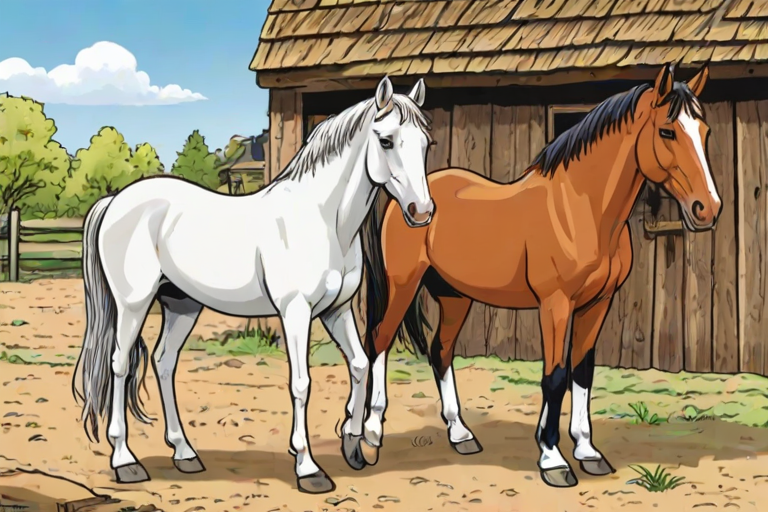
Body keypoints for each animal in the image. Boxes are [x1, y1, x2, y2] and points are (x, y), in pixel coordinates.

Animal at [72, 76, 435, 494]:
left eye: (426, 143)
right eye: (386, 140)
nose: (422, 212)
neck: (324, 220)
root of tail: (115, 200)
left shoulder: (336, 310)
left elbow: (359, 364)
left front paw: (354, 444)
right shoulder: (296, 312)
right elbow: (301, 383)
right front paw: (308, 468)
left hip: (182, 304)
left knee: (164, 362)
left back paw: (185, 454)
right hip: (132, 303)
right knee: (119, 364)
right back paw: (125, 461)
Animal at [360, 64, 721, 487]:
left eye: (705, 132)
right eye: (667, 131)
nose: (707, 209)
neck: (581, 208)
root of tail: (412, 199)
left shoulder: (598, 304)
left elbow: (582, 371)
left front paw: (588, 451)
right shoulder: (556, 304)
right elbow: (555, 376)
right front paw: (553, 459)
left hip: (455, 295)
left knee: (440, 352)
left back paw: (461, 435)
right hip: (403, 285)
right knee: (379, 341)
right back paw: (369, 436)